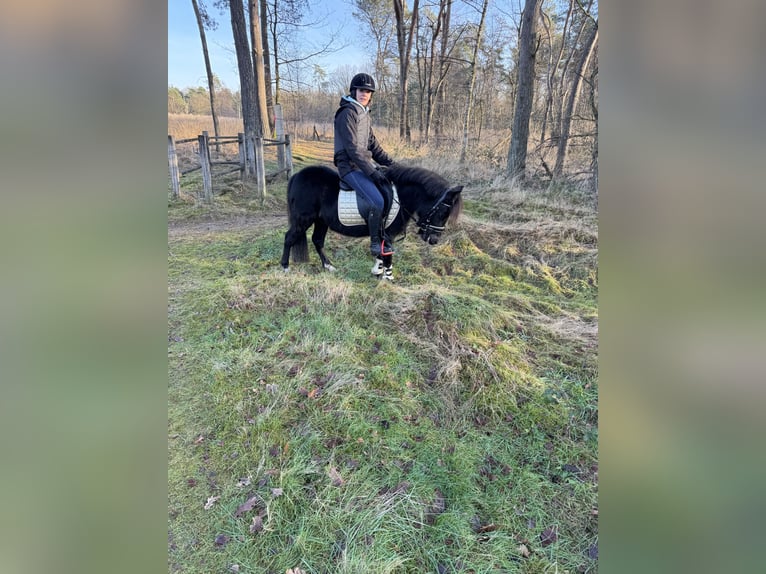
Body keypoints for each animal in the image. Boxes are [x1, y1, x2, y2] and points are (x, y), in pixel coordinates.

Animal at [280, 164, 463, 280]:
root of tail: (297, 176)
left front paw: (377, 271)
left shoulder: (382, 234)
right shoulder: (388, 234)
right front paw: (388, 278)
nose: (434, 240)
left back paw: (329, 266)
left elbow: (381, 254)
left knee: (317, 241)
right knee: (289, 238)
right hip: (303, 219)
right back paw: (285, 267)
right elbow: (387, 255)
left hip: (321, 221)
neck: (400, 197)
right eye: (443, 212)